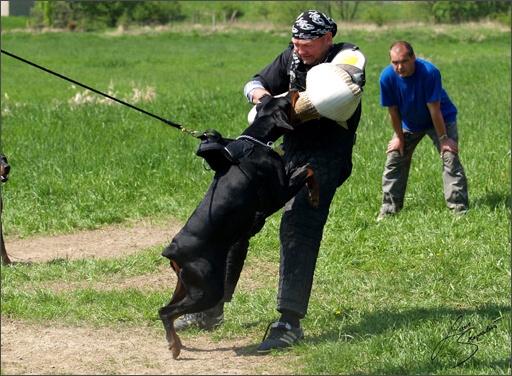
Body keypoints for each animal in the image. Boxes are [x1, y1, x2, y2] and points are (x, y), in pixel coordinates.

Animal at [160, 91, 318, 358]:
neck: (255, 143)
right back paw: (175, 346)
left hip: (185, 284)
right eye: (288, 99)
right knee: (166, 311)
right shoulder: (281, 190)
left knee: (165, 309)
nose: (296, 88)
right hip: (208, 289)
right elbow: (308, 171)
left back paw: (175, 341)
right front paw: (314, 194)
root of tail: (173, 249)